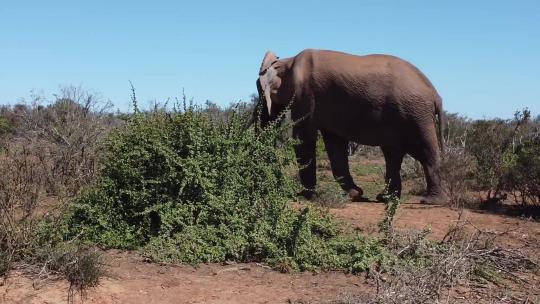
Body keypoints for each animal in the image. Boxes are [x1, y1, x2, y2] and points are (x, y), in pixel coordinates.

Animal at [255, 48, 446, 204]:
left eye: (259, 89)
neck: (287, 62)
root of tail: (436, 95)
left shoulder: (305, 96)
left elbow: (304, 140)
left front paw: (307, 196)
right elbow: (335, 145)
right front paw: (355, 194)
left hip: (415, 115)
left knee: (425, 153)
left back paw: (430, 201)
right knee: (392, 154)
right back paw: (385, 198)